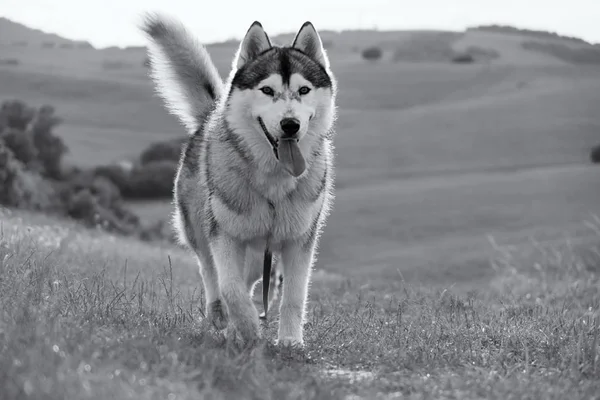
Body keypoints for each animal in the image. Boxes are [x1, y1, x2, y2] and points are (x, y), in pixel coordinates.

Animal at [141, 14, 338, 346]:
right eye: (267, 90)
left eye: (304, 90)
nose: (290, 124)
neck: (273, 182)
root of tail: (211, 114)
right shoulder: (225, 234)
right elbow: (230, 288)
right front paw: (247, 327)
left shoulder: (299, 240)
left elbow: (294, 296)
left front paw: (290, 341)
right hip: (200, 228)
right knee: (211, 273)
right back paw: (220, 316)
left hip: (259, 251)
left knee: (249, 278)